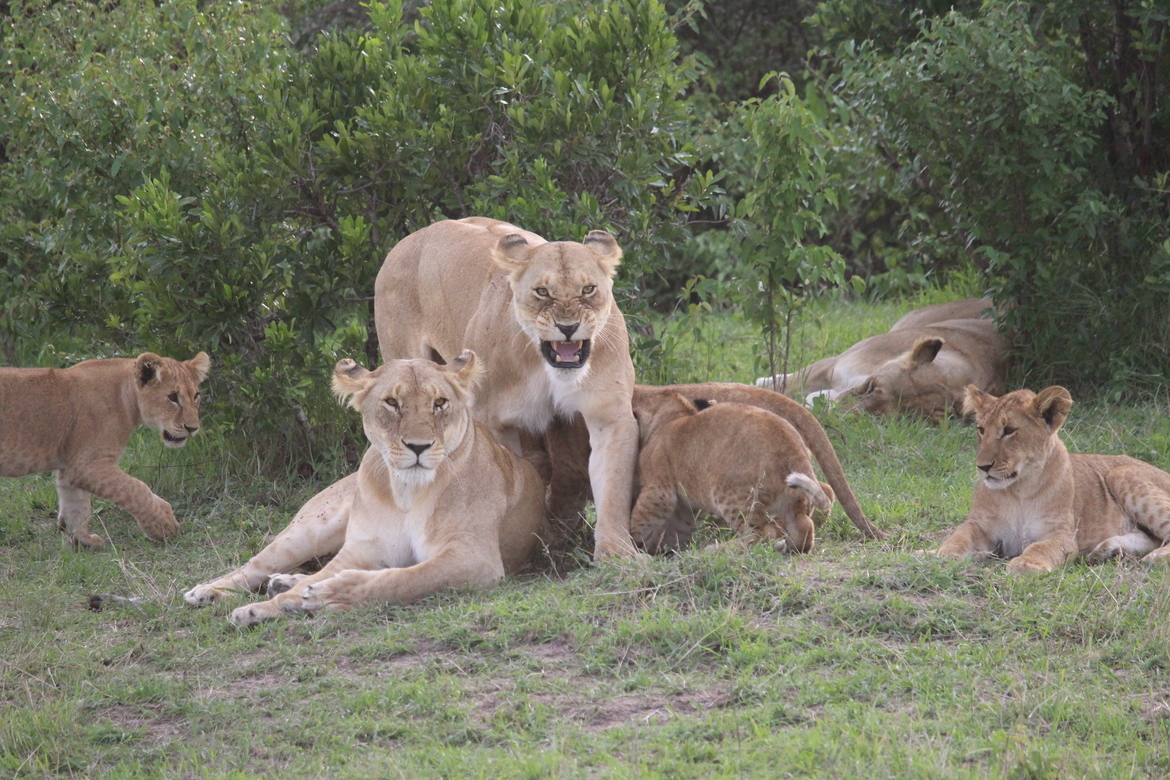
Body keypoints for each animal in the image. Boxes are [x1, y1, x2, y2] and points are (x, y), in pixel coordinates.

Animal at [0, 352, 209, 547]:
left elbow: (75, 504)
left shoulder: (71, 466)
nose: (193, 428)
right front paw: (164, 525)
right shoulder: (89, 465)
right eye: (173, 397)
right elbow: (136, 488)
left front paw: (82, 541)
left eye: (196, 396)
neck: (127, 397)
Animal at [208, 352, 548, 626]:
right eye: (392, 403)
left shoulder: (475, 556)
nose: (418, 447)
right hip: (310, 530)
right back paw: (209, 592)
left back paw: (282, 583)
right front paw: (260, 609)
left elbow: (404, 579)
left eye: (439, 403)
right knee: (256, 564)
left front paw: (329, 594)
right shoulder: (362, 550)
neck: (407, 492)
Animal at [374, 217, 638, 558]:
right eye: (542, 292)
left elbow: (613, 485)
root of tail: (408, 239)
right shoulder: (495, 421)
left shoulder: (609, 415)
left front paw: (617, 552)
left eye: (588, 289)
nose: (567, 328)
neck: (547, 368)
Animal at [629, 393, 834, 554]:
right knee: (803, 525)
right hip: (792, 499)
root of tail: (794, 447)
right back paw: (791, 547)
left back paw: (716, 550)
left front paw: (632, 542)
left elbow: (640, 517)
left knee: (762, 533)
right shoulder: (686, 506)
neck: (673, 417)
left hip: (732, 495)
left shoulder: (658, 489)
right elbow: (678, 527)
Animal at [934, 385, 1170, 572]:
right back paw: (1109, 551)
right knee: (1152, 538)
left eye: (1008, 430)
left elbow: (1039, 547)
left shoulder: (1061, 534)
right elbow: (959, 537)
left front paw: (1026, 564)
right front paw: (938, 555)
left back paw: (1152, 557)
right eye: (981, 430)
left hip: (1121, 473)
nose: (982, 467)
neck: (1018, 490)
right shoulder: (980, 525)